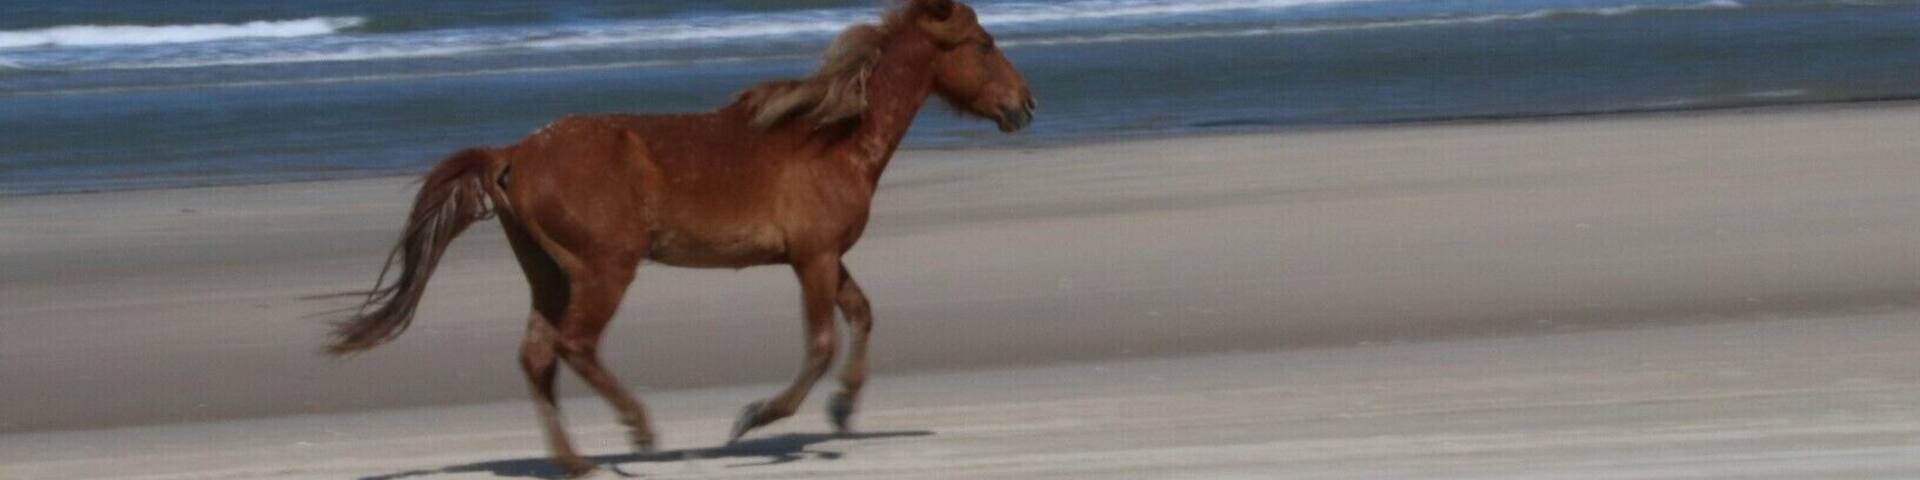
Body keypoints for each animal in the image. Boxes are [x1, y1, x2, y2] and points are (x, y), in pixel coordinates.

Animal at [322, 0, 1034, 475]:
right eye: (985, 43)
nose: (1025, 106)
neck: (833, 136)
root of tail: (514, 153)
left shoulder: (826, 256)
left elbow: (860, 315)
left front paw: (842, 410)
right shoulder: (812, 257)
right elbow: (821, 343)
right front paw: (754, 419)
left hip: (548, 272)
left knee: (537, 356)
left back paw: (578, 463)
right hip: (605, 267)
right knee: (574, 345)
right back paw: (638, 434)